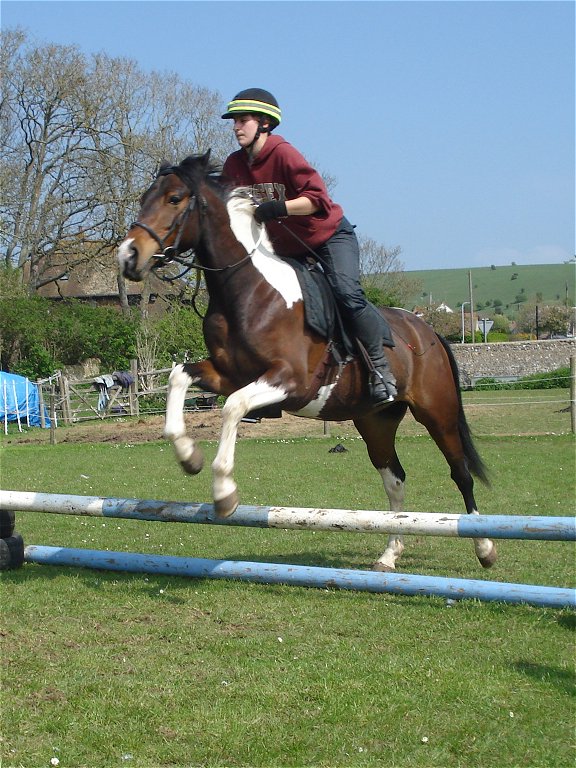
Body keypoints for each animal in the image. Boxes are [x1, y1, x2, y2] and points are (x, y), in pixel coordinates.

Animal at [117, 152, 496, 572]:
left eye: (174, 199)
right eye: (143, 199)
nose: (128, 256)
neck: (248, 291)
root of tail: (427, 330)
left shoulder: (289, 381)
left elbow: (232, 408)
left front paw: (224, 492)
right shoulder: (229, 374)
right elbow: (178, 377)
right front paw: (188, 456)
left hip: (437, 412)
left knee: (460, 472)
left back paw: (484, 547)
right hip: (376, 421)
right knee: (394, 479)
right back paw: (389, 554)